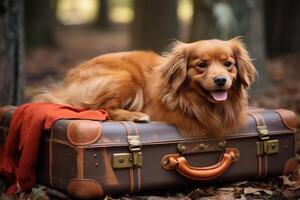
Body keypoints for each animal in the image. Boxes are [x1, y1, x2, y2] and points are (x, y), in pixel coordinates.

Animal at [32, 37, 255, 138]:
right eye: (202, 65)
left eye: (228, 64)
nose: (221, 80)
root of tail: (66, 83)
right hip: (124, 77)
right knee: (101, 109)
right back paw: (135, 115)